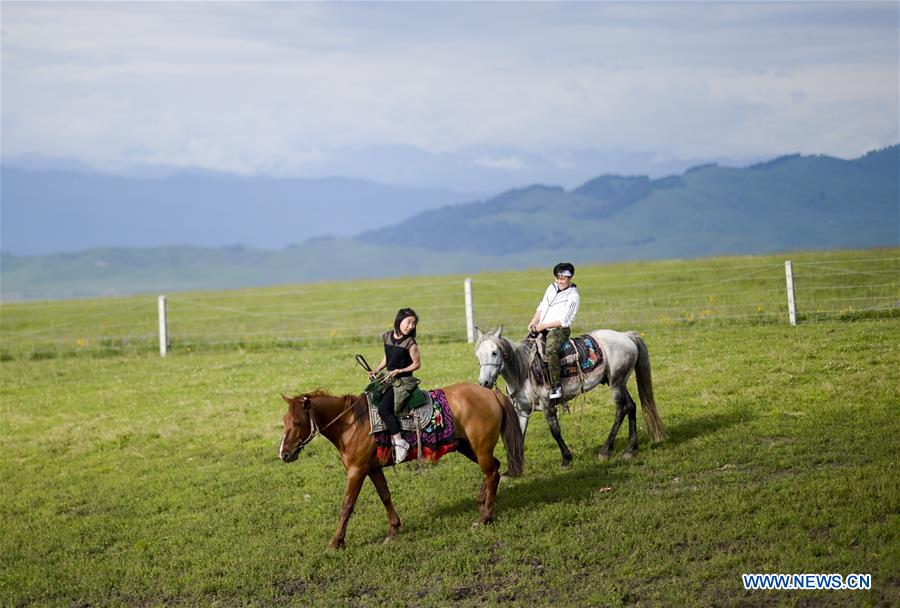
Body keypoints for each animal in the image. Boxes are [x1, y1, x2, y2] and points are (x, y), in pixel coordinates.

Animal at [278, 382, 524, 548]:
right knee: (494, 468)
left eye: (298, 423)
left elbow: (347, 505)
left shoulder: (357, 471)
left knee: (492, 473)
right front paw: (393, 530)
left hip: (480, 448)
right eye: (284, 421)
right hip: (467, 446)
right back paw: (481, 502)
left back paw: (484, 518)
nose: (284, 454)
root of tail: (491, 392)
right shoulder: (373, 469)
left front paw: (336, 541)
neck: (352, 424)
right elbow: (385, 497)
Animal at [474, 328, 664, 466]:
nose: (484, 382)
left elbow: (555, 431)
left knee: (621, 409)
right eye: (478, 355)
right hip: (619, 382)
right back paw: (630, 449)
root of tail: (626, 336)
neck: (523, 371)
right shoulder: (522, 410)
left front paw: (566, 458)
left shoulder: (547, 405)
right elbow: (518, 435)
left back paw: (605, 451)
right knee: (631, 406)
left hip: (616, 383)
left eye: (494, 353)